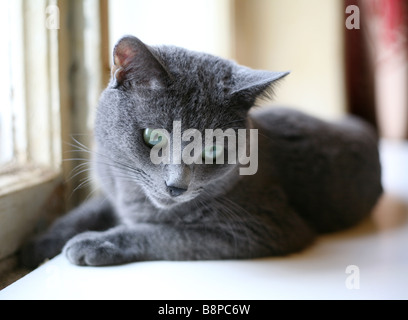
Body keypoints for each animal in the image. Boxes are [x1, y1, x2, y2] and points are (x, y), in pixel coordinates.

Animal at [19, 36, 382, 268]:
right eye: (153, 136)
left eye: (213, 148)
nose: (176, 186)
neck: (131, 198)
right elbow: (90, 209)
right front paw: (41, 243)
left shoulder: (264, 227)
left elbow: (165, 234)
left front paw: (94, 243)